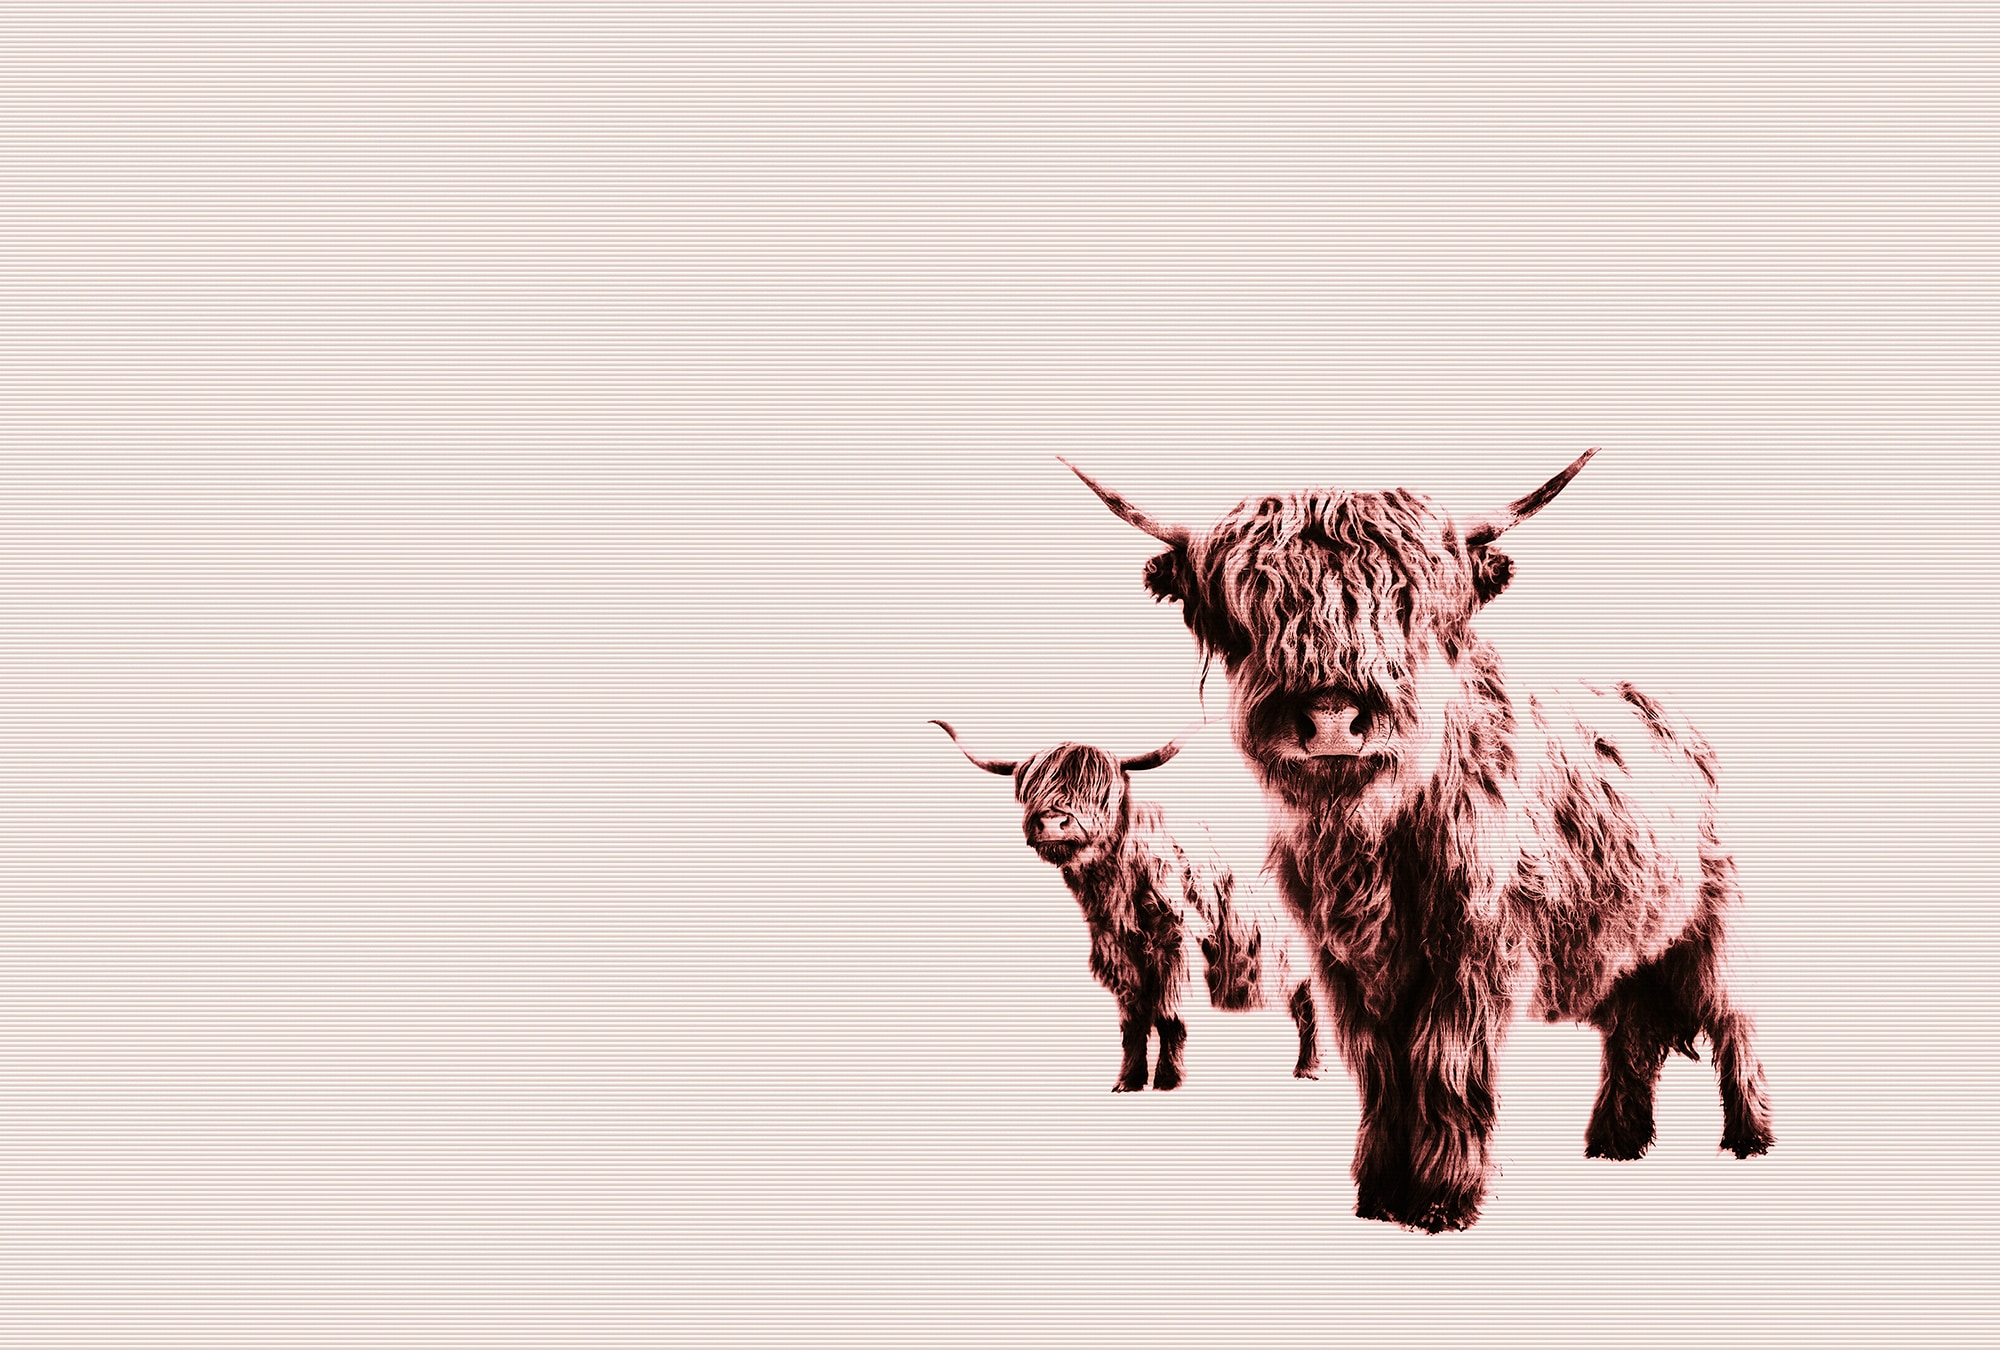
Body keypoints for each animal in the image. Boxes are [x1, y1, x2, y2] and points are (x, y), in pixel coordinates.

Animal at [932, 719, 1323, 1092]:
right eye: (1033, 789)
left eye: (1100, 791)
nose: (1052, 823)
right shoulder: (1118, 952)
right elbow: (1133, 1022)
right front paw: (1128, 1080)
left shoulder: (1176, 945)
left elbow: (1169, 1015)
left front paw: (1169, 1080)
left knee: (1310, 1008)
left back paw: (1309, 1068)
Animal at [1063, 448, 1773, 1232]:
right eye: (1253, 607)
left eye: (1405, 605)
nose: (1333, 721)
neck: (1369, 838)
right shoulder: (1343, 963)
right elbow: (1380, 1068)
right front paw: (1379, 1193)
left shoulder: (1474, 950)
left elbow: (1444, 1062)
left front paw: (1442, 1199)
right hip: (1621, 936)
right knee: (1631, 1032)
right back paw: (1615, 1141)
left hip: (1713, 925)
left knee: (1734, 1022)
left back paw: (1749, 1136)